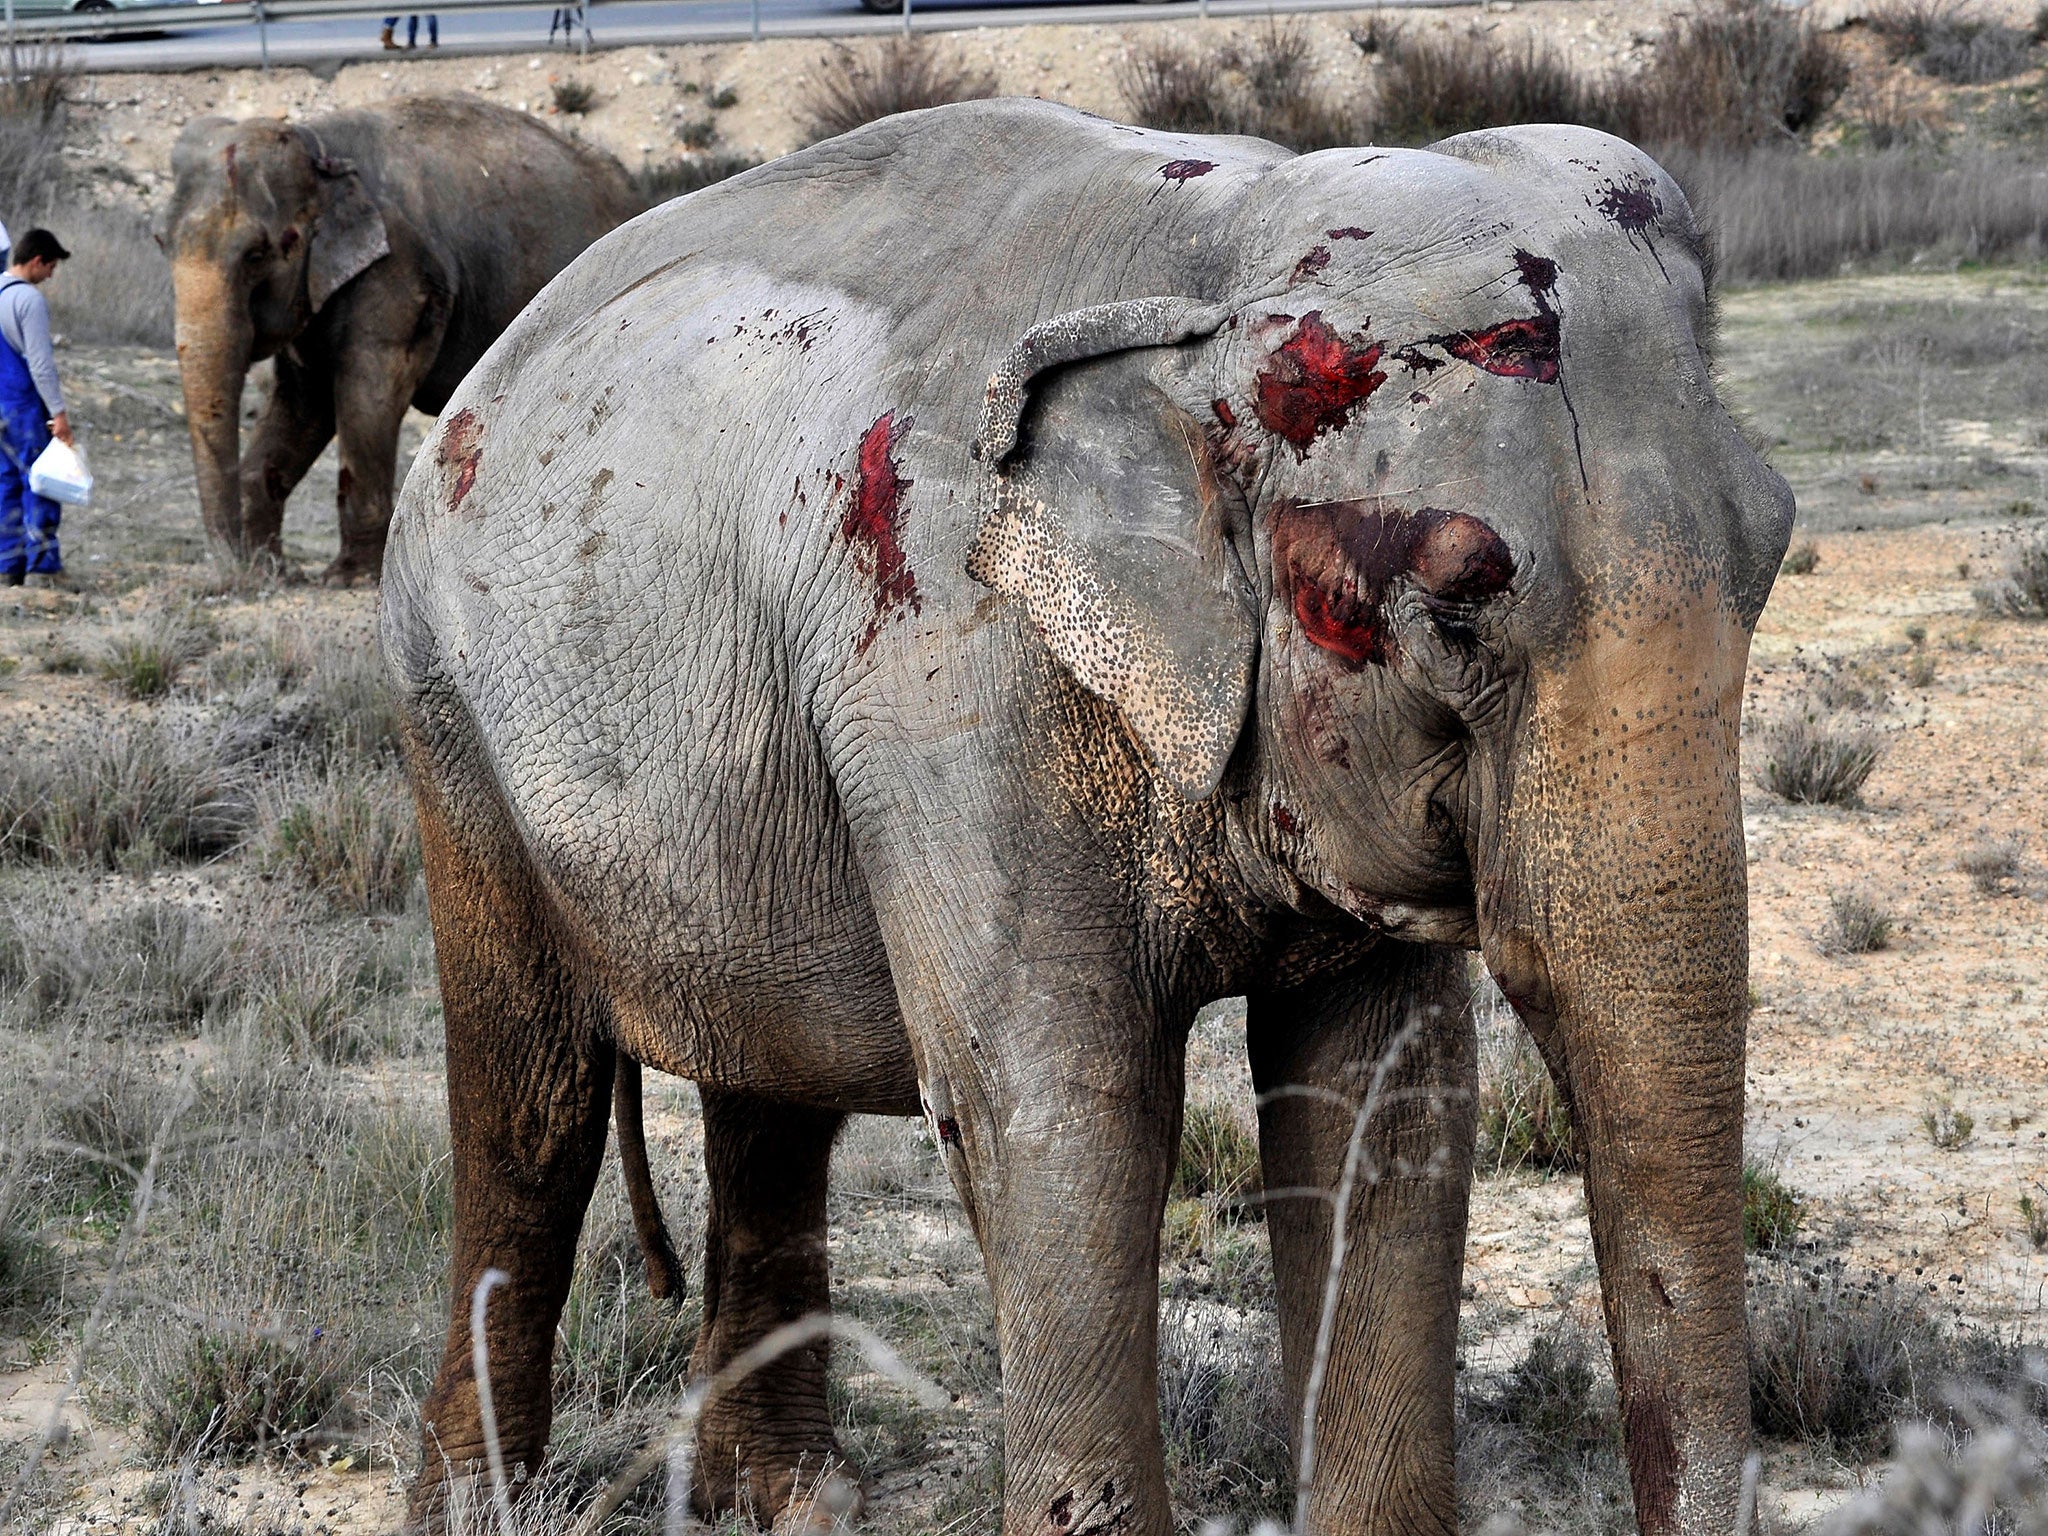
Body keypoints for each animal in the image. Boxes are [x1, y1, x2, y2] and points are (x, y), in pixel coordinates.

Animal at [168, 96, 638, 585]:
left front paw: (348, 578)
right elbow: (302, 402)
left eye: (255, 255)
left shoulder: (399, 273)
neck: (319, 147)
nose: (236, 574)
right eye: (160, 242)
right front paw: (272, 570)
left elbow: (366, 395)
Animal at [385, 99, 1794, 1536]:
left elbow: (1381, 1111)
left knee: (772, 1093)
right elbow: (1067, 1113)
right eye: (1454, 612)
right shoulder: (954, 679)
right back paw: (477, 1507)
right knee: (530, 1103)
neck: (1217, 262)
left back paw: (788, 1500)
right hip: (445, 712)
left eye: (1772, 551)